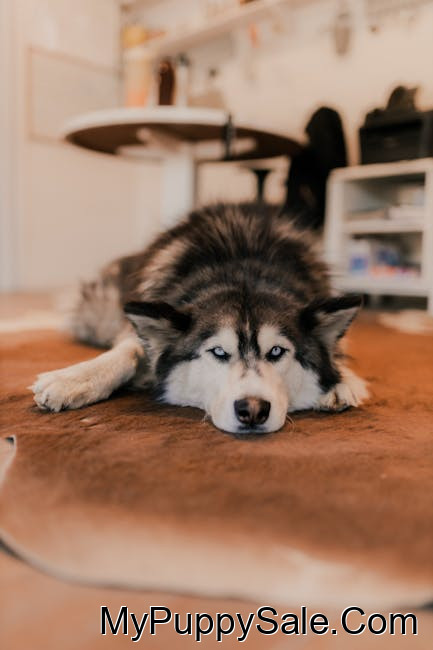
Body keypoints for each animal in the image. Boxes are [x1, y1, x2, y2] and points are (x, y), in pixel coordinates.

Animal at [31, 203, 368, 434]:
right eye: (218, 352)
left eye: (276, 352)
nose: (253, 410)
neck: (242, 269)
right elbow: (129, 350)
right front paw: (73, 379)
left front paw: (342, 381)